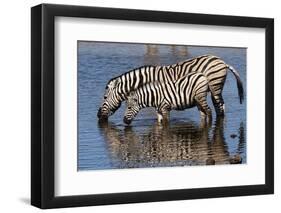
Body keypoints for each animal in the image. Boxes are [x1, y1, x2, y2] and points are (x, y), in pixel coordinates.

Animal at [97, 55, 243, 120]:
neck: (147, 80)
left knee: (219, 106)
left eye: (104, 97)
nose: (98, 116)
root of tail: (221, 61)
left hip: (215, 86)